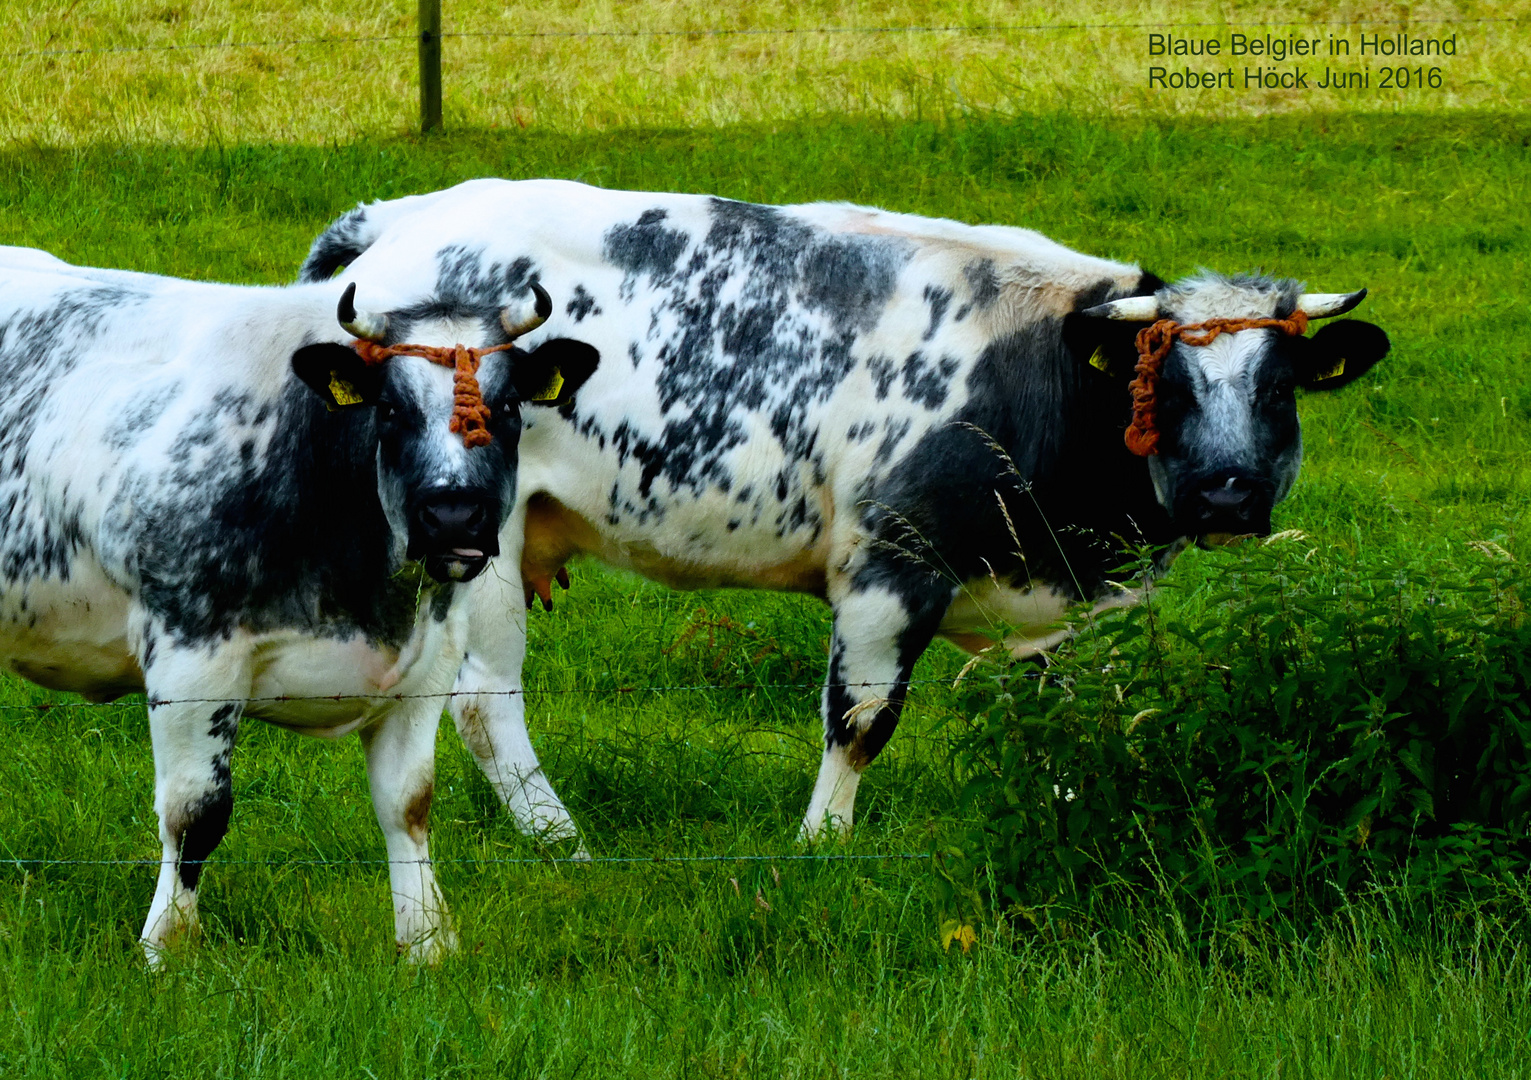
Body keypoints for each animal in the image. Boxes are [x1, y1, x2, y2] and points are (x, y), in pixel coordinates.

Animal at [0, 251, 597, 962]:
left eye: (507, 405)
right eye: (388, 408)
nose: (454, 513)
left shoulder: (428, 663)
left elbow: (409, 804)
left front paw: (426, 943)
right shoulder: (189, 656)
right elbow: (195, 814)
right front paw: (166, 950)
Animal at [295, 180, 1390, 845]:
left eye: (1280, 388)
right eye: (1160, 384)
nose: (1226, 491)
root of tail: (399, 217)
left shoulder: (1072, 604)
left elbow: (1069, 724)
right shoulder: (887, 563)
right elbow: (860, 720)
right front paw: (820, 845)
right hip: (479, 534)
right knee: (484, 700)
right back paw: (564, 842)